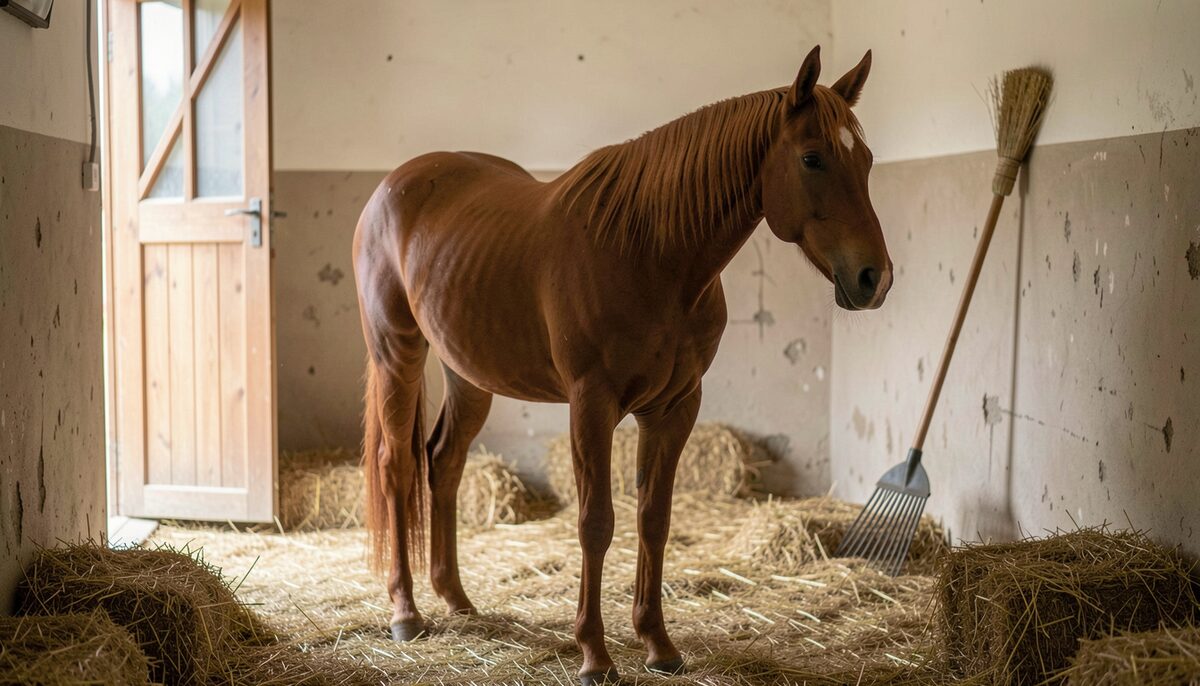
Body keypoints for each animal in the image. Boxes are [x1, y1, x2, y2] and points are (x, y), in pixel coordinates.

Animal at [353, 45, 891, 684]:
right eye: (812, 158)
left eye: (867, 160)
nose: (875, 278)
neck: (650, 254)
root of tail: (393, 186)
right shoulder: (592, 404)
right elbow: (596, 522)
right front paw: (594, 653)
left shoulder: (675, 407)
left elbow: (654, 519)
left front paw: (658, 643)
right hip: (398, 352)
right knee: (396, 467)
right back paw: (406, 612)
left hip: (468, 373)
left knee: (444, 462)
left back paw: (457, 599)